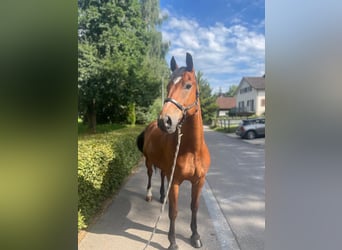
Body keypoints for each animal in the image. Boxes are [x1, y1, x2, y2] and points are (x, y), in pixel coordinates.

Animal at [136, 52, 211, 248]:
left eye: (188, 85)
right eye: (168, 86)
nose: (165, 121)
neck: (192, 151)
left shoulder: (198, 181)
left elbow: (194, 207)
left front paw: (195, 236)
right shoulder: (175, 182)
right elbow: (174, 211)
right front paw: (172, 242)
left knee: (162, 176)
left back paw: (162, 196)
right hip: (148, 161)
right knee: (150, 175)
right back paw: (149, 195)